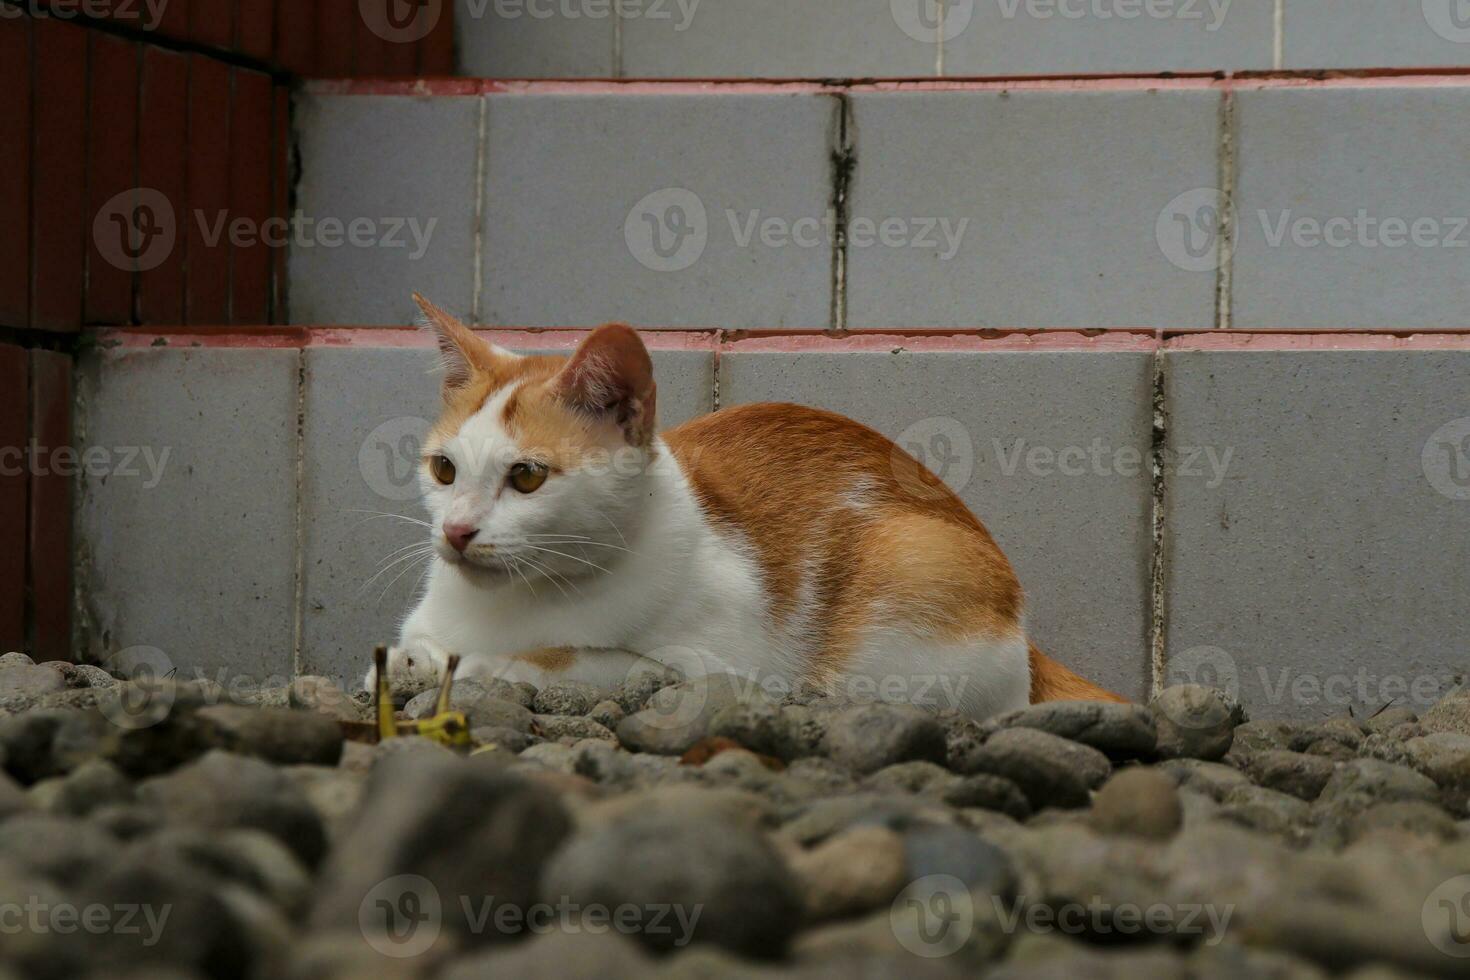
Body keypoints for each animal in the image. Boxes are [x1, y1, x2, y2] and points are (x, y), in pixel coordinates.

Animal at [373, 295, 1117, 717]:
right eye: (444, 470)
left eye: (526, 478)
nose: (457, 530)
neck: (506, 604)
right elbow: (411, 646)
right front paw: (416, 662)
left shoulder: (706, 665)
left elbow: (570, 658)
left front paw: (479, 666)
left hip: (910, 569)